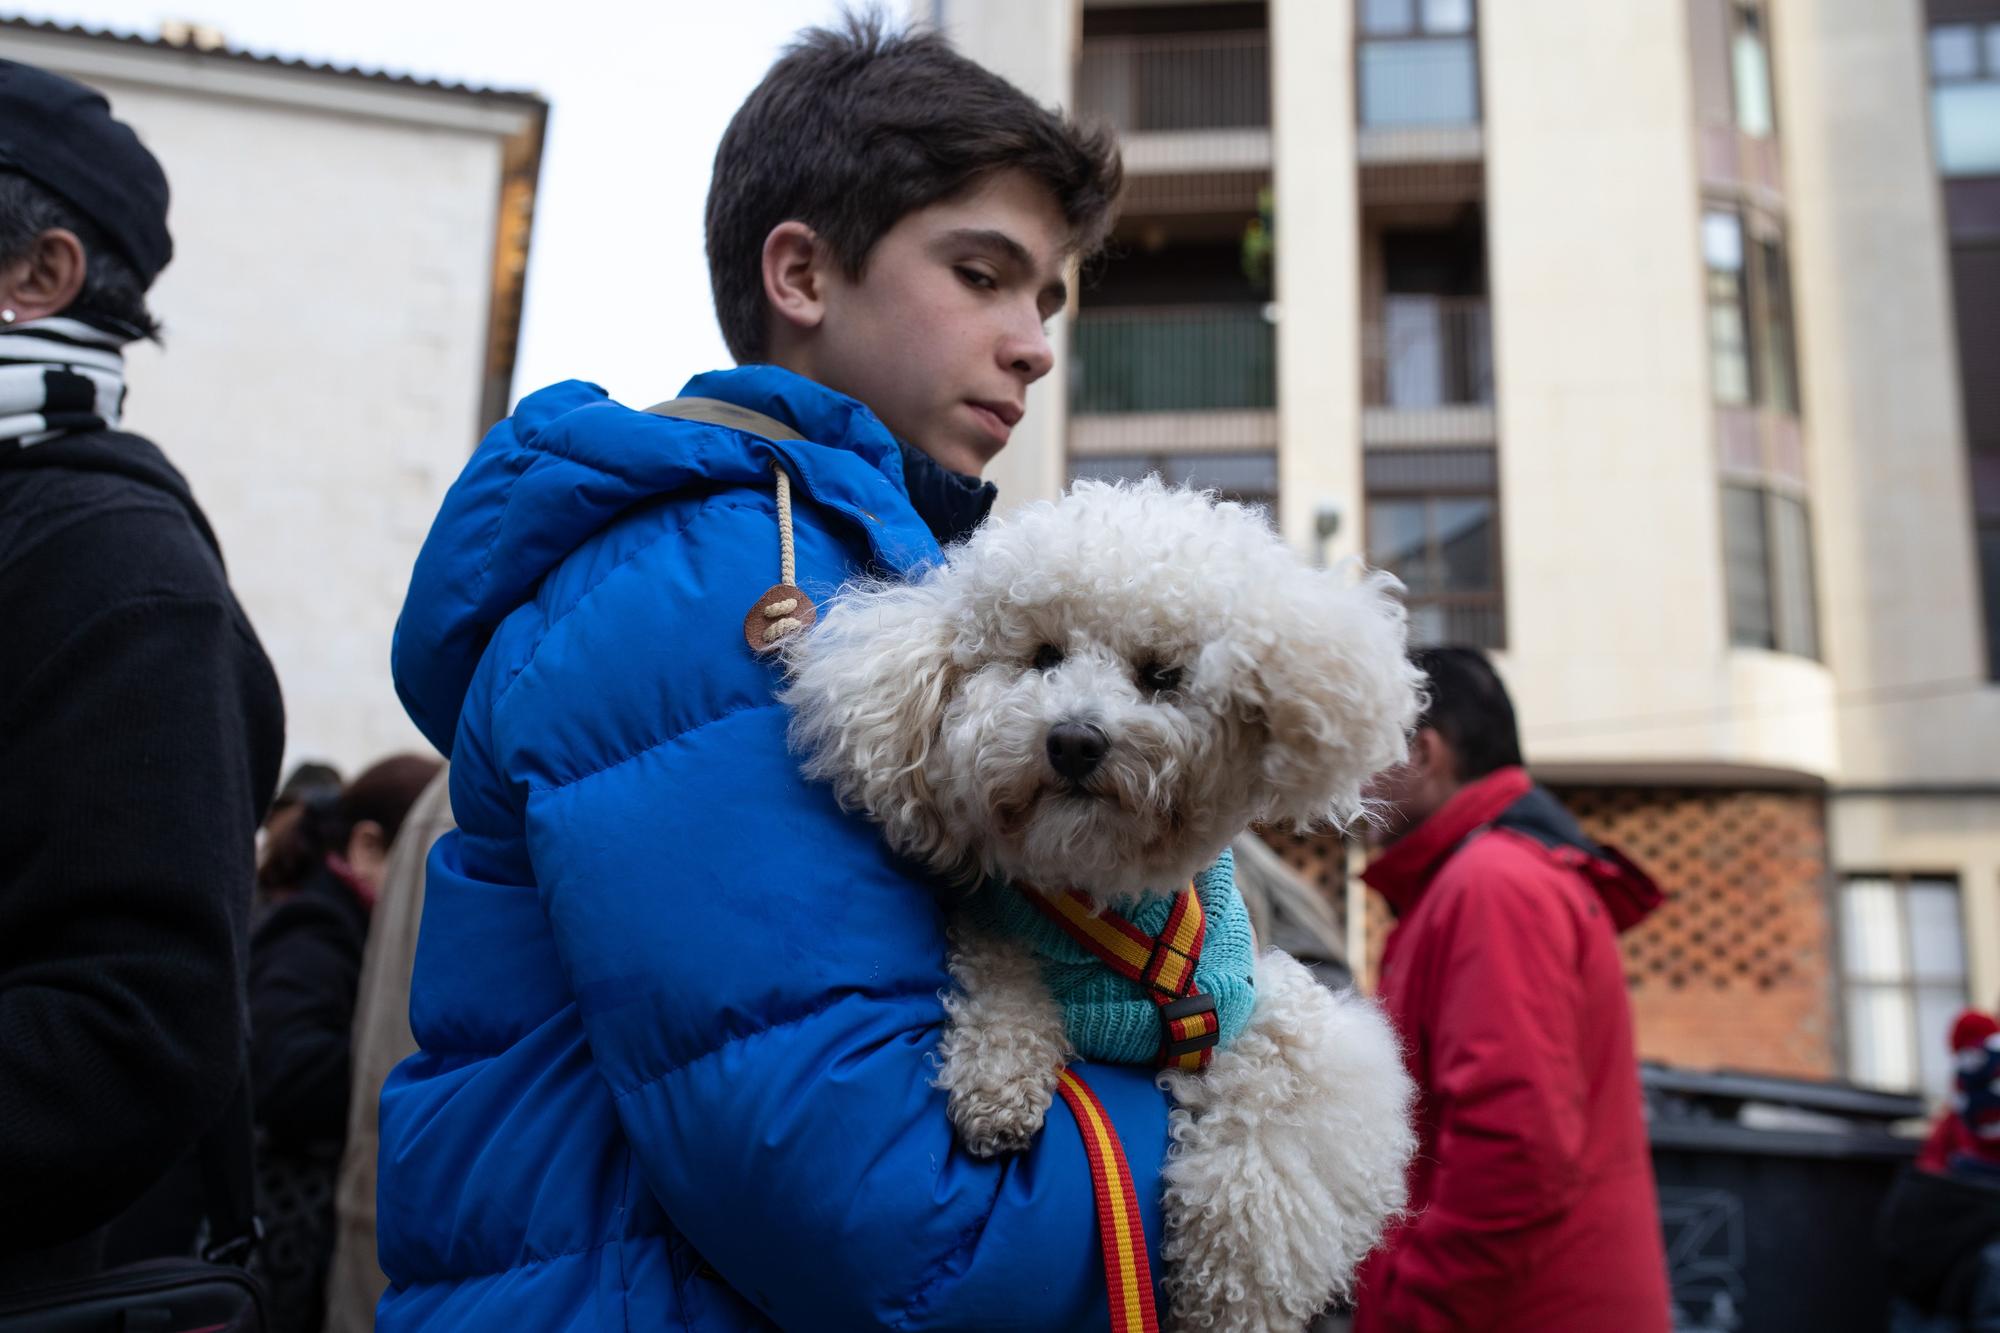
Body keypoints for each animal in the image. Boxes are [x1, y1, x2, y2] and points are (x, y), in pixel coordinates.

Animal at [780, 478, 1424, 1328]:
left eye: (1162, 674)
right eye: (1042, 657)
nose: (1074, 739)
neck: (1106, 901)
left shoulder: (1278, 1017)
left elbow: (1271, 1126)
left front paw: (1229, 1290)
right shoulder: (998, 927)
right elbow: (999, 964)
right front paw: (998, 1074)